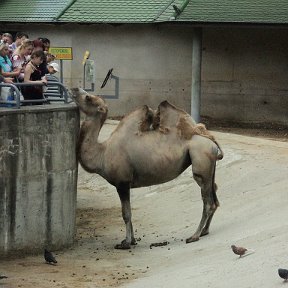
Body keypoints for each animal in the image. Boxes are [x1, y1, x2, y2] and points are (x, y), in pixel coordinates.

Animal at [71, 88, 224, 250]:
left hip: (200, 161)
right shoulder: (126, 184)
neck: (102, 153)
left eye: (88, 97)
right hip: (210, 167)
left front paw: (126, 243)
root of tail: (212, 142)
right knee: (214, 197)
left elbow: (126, 214)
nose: (74, 89)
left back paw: (194, 236)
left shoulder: (122, 183)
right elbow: (128, 213)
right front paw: (131, 240)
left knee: (207, 201)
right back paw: (205, 231)